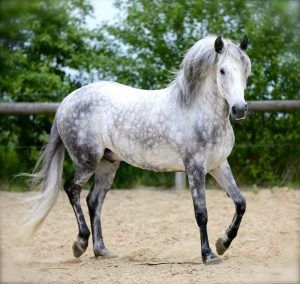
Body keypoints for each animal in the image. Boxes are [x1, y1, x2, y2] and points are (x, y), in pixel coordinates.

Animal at [24, 35, 251, 264]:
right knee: (72, 189)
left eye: (245, 69)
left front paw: (222, 243)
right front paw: (209, 255)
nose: (239, 109)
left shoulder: (218, 165)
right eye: (222, 70)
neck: (196, 111)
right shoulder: (194, 166)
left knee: (94, 201)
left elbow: (240, 202)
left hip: (108, 162)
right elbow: (201, 213)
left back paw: (102, 251)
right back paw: (80, 243)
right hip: (87, 160)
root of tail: (65, 102)